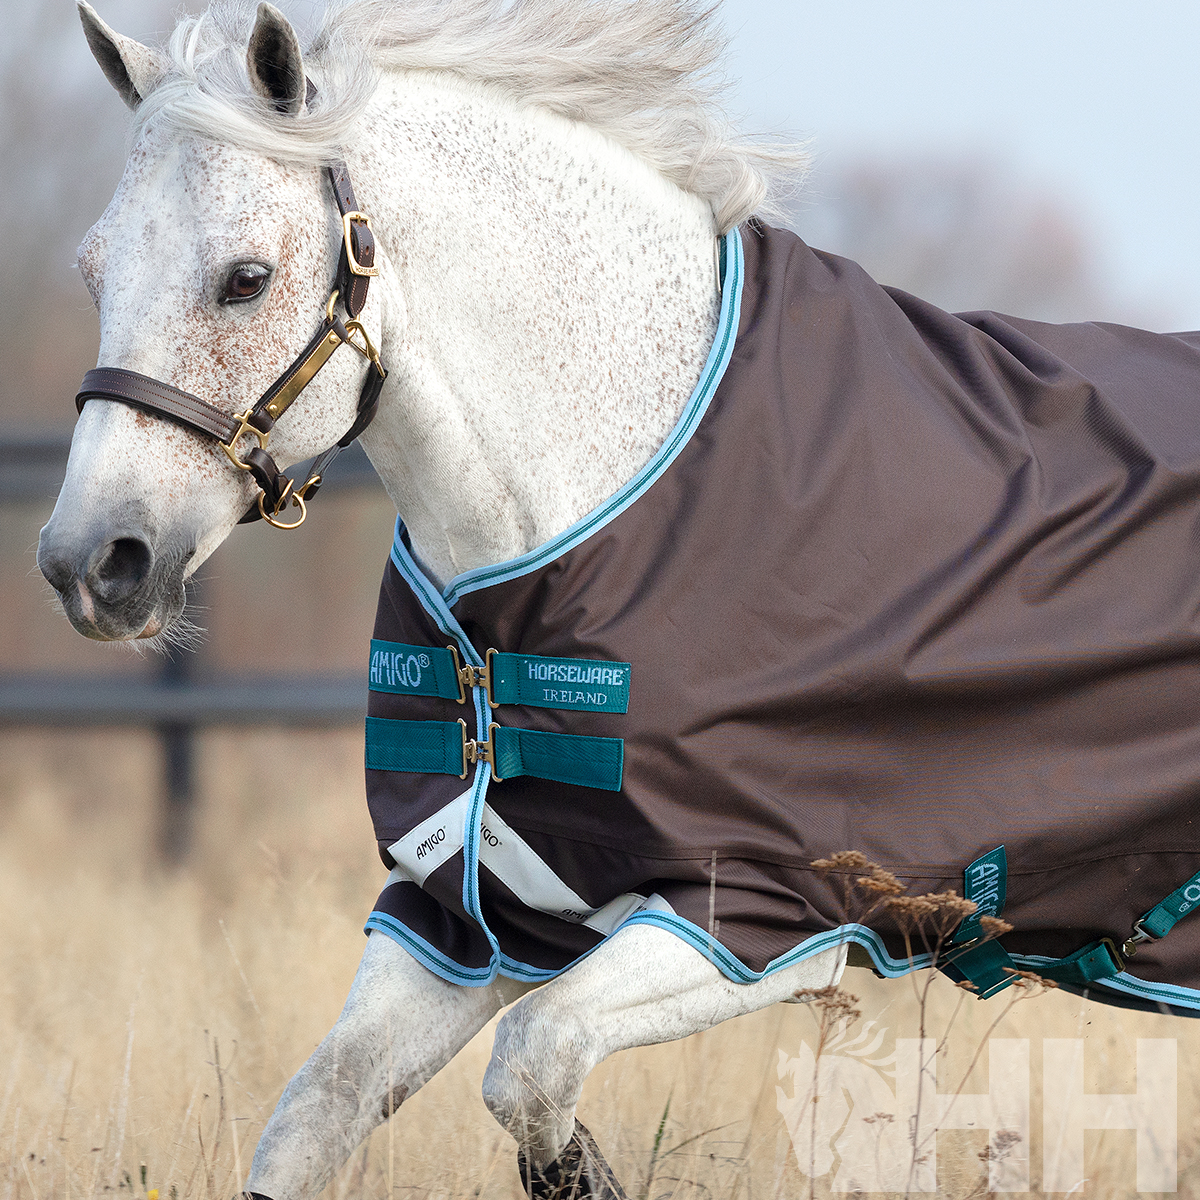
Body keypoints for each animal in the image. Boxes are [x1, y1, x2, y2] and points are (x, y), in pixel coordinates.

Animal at [37, 1, 1200, 1197]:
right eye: (93, 272)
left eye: (246, 278)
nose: (92, 563)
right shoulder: (469, 909)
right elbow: (321, 1107)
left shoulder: (761, 922)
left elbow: (533, 1063)